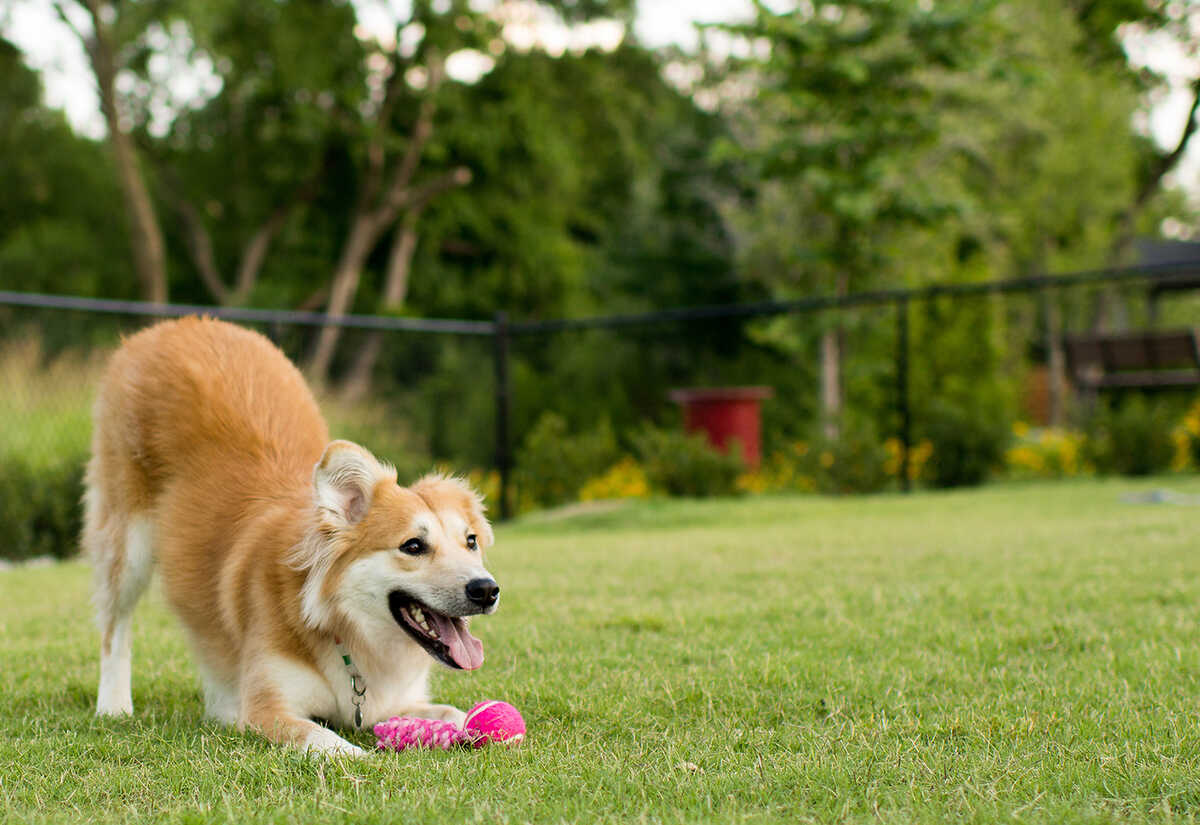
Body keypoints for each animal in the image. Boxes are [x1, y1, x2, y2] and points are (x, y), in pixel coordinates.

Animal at [84, 316, 496, 753]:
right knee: (115, 627)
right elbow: (323, 737)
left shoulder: (392, 703)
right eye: (413, 546)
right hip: (126, 542)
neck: (342, 628)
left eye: (470, 542)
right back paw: (114, 705)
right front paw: (358, 755)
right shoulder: (267, 709)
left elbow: (454, 712)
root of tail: (178, 324)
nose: (486, 590)